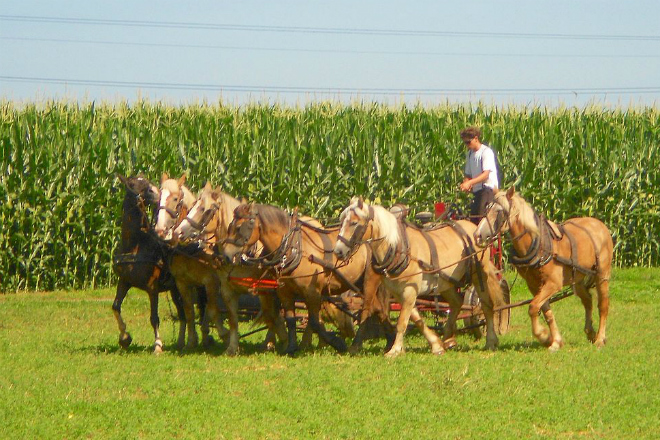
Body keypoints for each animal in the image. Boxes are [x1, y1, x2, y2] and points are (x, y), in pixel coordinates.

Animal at [223, 205, 386, 356]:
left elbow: (314, 321)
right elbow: (290, 319)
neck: (294, 248)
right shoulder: (284, 292)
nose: (225, 255)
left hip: (369, 283)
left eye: (239, 227)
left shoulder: (312, 292)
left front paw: (337, 343)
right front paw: (291, 347)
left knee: (367, 310)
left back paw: (356, 345)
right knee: (378, 309)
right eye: (230, 226)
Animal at [336, 199, 506, 358]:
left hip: (479, 276)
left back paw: (490, 340)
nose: (338, 251)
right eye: (342, 221)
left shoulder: (410, 289)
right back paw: (447, 339)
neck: (399, 248)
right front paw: (436, 345)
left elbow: (402, 321)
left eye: (354, 223)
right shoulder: (400, 292)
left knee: (486, 305)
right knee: (456, 303)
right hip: (446, 282)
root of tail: (474, 229)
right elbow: (415, 318)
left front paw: (394, 350)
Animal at [474, 186, 612, 350]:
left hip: (602, 275)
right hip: (577, 279)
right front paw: (554, 340)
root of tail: (599, 224)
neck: (538, 244)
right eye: (487, 209)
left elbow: (533, 307)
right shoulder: (534, 285)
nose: (478, 235)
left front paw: (542, 335)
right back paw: (590, 332)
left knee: (603, 305)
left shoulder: (553, 283)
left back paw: (600, 338)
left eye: (499, 211)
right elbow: (546, 311)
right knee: (588, 301)